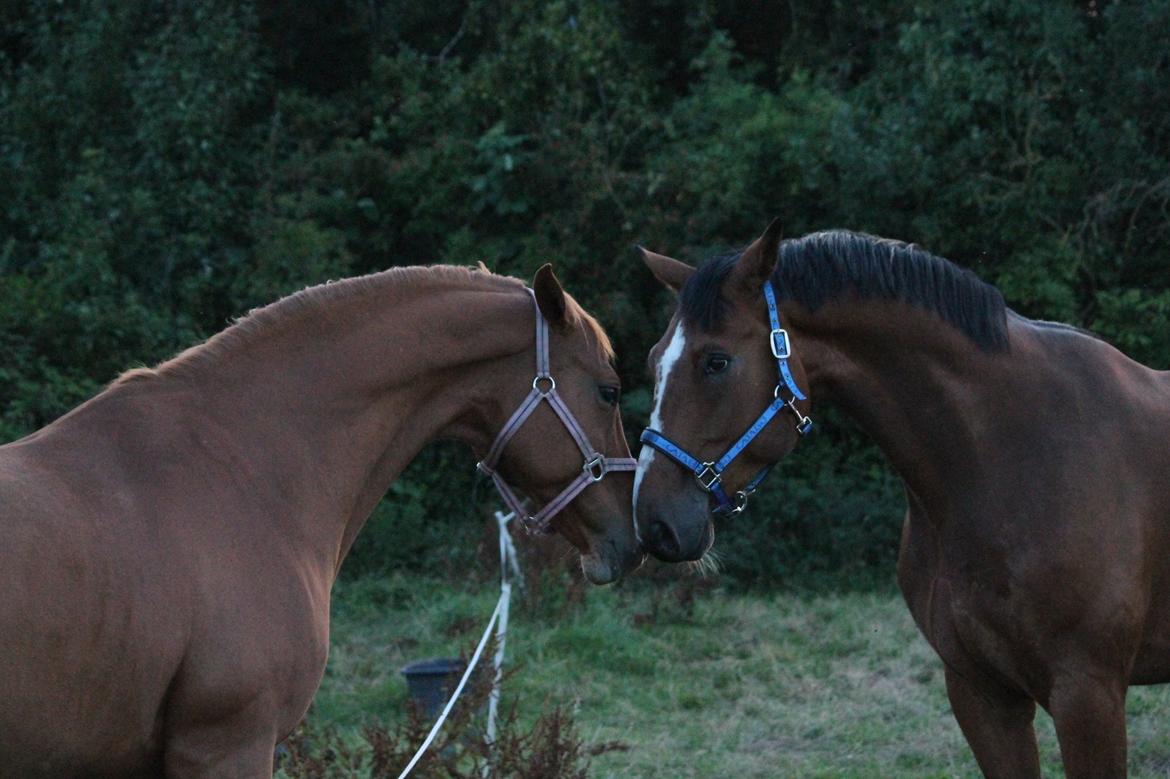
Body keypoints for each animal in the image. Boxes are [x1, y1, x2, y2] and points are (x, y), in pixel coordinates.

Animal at [636, 219, 1170, 776]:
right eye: (654, 362)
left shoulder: (1088, 696)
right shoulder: (980, 692)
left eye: (716, 362)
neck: (1014, 460)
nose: (655, 523)